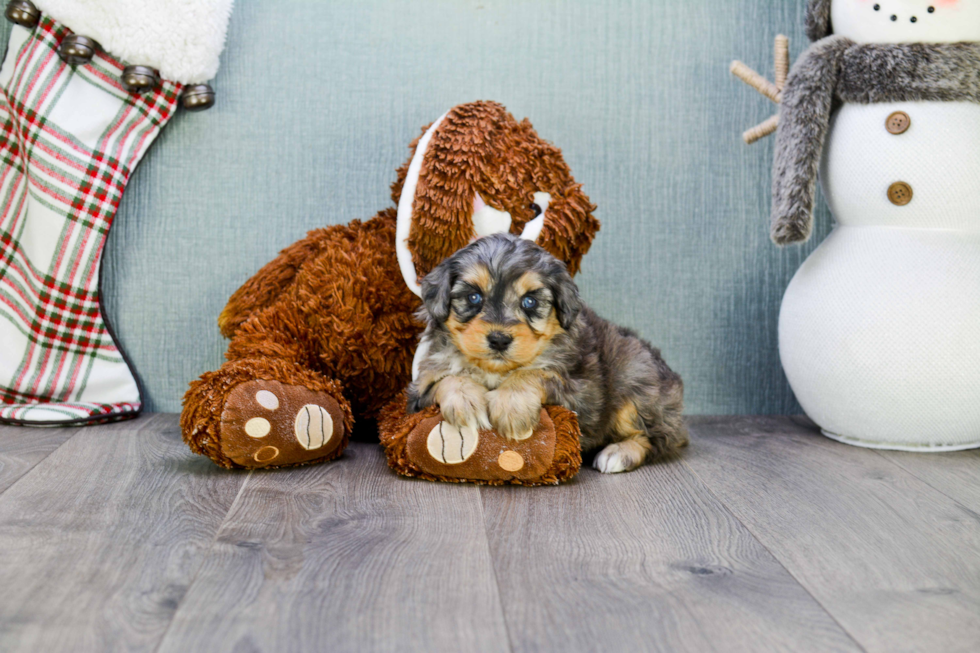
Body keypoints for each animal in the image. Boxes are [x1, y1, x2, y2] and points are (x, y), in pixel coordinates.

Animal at [408, 232, 688, 472]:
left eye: (529, 301)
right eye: (474, 297)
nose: (499, 340)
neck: (496, 370)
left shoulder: (579, 393)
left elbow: (535, 373)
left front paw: (511, 406)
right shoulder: (419, 390)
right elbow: (448, 378)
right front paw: (466, 401)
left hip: (635, 381)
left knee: (655, 438)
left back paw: (618, 454)